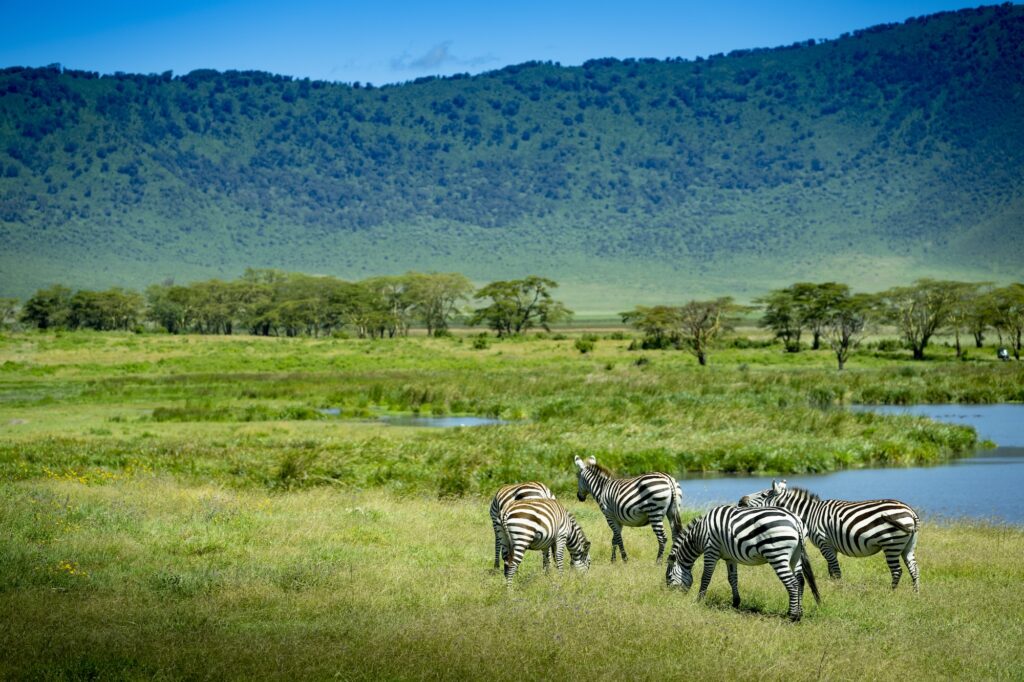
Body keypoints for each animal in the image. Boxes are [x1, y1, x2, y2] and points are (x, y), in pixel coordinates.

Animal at [665, 505, 821, 621]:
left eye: (669, 578)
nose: (670, 598)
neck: (699, 534)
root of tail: (794, 519)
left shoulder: (711, 550)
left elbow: (706, 577)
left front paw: (699, 600)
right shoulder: (730, 558)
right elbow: (732, 578)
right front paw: (735, 602)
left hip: (777, 553)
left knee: (792, 583)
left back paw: (792, 617)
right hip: (796, 555)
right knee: (800, 581)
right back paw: (799, 613)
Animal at [738, 479, 920, 591]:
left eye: (763, 494)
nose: (740, 500)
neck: (809, 514)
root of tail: (910, 512)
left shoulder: (824, 543)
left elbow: (836, 570)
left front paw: (838, 589)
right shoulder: (831, 546)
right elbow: (831, 570)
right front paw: (834, 586)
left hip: (891, 544)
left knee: (897, 571)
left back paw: (892, 592)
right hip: (907, 546)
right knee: (914, 569)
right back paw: (915, 594)